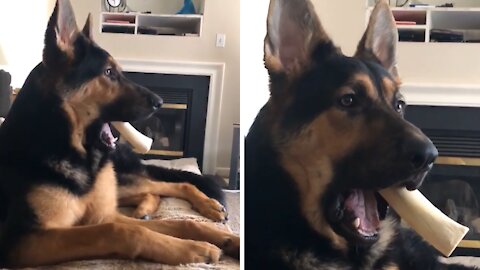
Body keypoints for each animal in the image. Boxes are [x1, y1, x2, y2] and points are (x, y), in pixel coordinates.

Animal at [0, 0, 239, 266]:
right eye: (108, 72)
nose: (160, 102)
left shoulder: (99, 216)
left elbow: (181, 223)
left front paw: (230, 240)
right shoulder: (24, 240)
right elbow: (125, 231)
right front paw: (194, 247)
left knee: (171, 185)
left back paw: (205, 206)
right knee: (151, 192)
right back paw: (146, 210)